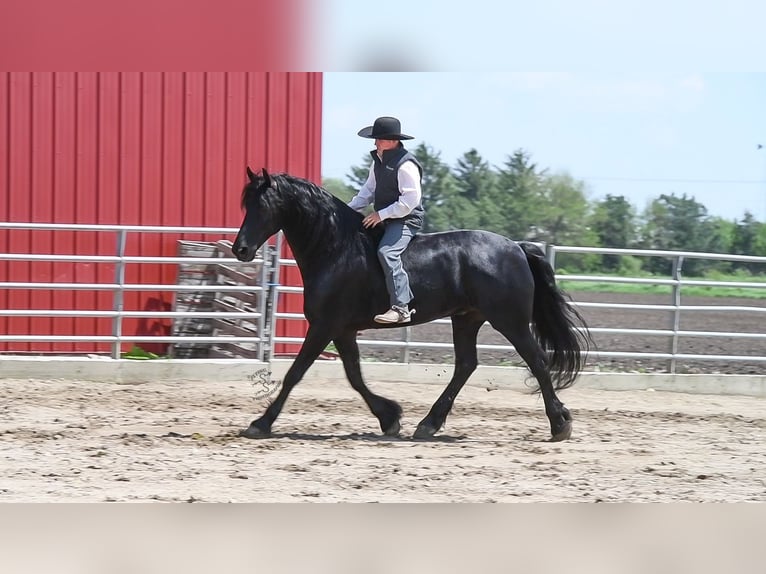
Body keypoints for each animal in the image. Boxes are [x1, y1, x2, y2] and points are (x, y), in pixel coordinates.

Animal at [234, 169, 592, 444]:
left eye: (264, 204)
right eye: (246, 204)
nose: (241, 249)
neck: (337, 249)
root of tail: (517, 247)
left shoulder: (324, 327)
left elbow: (296, 373)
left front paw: (261, 424)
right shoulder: (343, 330)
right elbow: (354, 375)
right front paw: (389, 417)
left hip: (509, 321)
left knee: (537, 361)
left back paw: (559, 424)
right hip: (467, 319)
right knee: (466, 365)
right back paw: (429, 424)